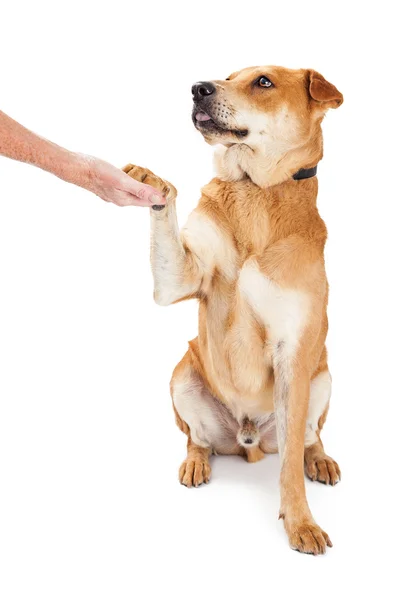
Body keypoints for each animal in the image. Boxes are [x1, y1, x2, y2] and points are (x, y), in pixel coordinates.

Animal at [123, 64, 342, 552]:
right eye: (228, 75)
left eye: (263, 82)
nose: (197, 88)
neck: (257, 192)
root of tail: (248, 439)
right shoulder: (178, 280)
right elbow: (166, 209)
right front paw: (150, 181)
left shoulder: (293, 349)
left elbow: (288, 469)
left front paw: (300, 522)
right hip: (183, 375)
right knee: (197, 439)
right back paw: (196, 462)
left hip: (321, 378)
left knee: (308, 437)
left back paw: (318, 460)